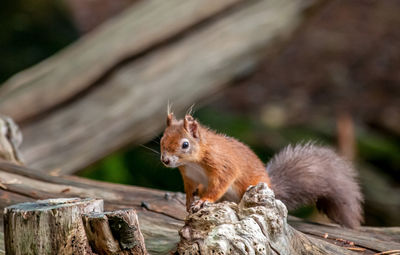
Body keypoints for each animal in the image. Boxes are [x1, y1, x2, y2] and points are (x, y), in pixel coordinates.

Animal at [159, 112, 362, 228]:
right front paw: (189, 202)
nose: (165, 160)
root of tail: (271, 187)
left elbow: (220, 184)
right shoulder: (189, 177)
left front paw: (204, 201)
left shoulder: (223, 165)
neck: (194, 162)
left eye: (185, 144)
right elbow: (189, 190)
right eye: (162, 139)